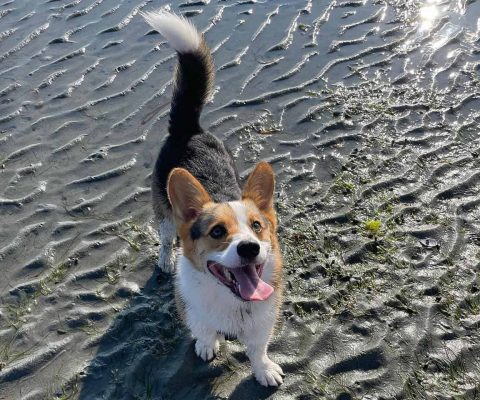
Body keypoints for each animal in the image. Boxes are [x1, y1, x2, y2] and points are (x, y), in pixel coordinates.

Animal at [142, 11, 284, 387]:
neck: (234, 301)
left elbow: (258, 349)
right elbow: (204, 331)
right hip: (164, 214)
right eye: (217, 232)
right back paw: (165, 259)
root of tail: (189, 129)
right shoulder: (196, 313)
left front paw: (263, 369)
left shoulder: (262, 324)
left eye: (257, 227)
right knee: (165, 238)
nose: (249, 248)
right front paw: (208, 347)